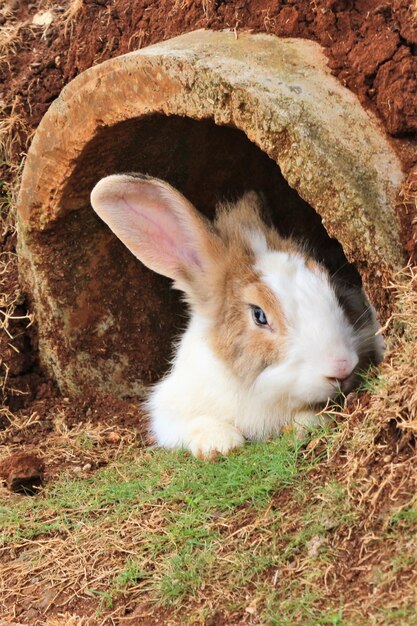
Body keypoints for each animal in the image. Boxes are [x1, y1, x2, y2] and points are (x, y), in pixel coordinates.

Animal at [91, 173, 384, 456]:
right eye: (259, 315)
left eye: (331, 288)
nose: (342, 367)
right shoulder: (168, 411)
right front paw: (219, 443)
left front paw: (306, 423)